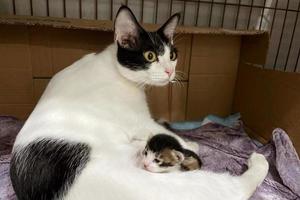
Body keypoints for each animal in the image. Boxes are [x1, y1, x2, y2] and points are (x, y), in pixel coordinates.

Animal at [9, 5, 268, 199]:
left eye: (172, 55)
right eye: (150, 56)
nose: (169, 72)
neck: (113, 67)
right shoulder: (139, 120)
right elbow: (168, 134)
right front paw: (188, 144)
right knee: (236, 189)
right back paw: (258, 160)